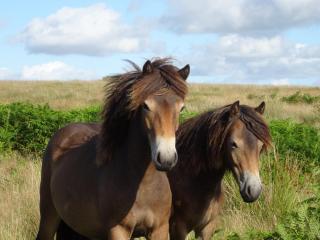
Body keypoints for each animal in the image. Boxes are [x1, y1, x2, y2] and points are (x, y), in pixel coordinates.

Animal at [35, 58, 190, 240]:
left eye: (181, 108)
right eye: (146, 106)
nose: (166, 158)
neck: (142, 184)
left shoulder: (159, 229)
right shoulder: (118, 230)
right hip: (49, 216)